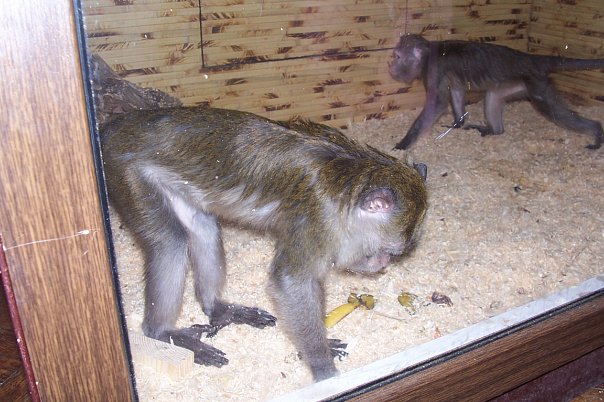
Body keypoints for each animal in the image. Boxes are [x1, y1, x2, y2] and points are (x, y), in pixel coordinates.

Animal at [101, 106, 428, 382]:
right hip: (127, 173)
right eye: (386, 252)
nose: (382, 263)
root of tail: (115, 127)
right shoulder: (318, 218)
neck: (352, 178)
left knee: (202, 227)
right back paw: (161, 332)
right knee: (170, 243)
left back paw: (216, 308)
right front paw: (323, 369)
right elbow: (291, 284)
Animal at [388, 34, 604, 150]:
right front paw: (458, 123)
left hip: (536, 82)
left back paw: (595, 130)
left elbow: (438, 104)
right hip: (516, 83)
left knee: (550, 109)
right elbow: (457, 90)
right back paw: (495, 131)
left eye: (398, 56)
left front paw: (404, 143)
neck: (427, 56)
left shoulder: (434, 70)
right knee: (493, 96)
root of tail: (530, 58)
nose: (391, 66)